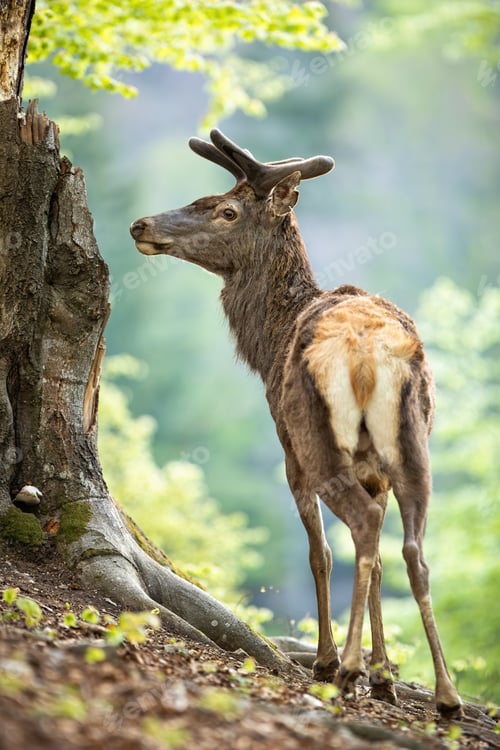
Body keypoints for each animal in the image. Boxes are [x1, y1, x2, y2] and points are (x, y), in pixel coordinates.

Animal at [130, 129, 462, 717]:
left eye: (226, 210)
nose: (141, 225)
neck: (267, 346)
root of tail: (369, 354)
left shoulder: (288, 451)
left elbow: (320, 553)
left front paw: (335, 663)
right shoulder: (375, 467)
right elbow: (376, 563)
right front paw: (386, 676)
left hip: (316, 438)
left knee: (360, 527)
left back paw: (345, 668)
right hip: (413, 442)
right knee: (412, 550)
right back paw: (446, 696)